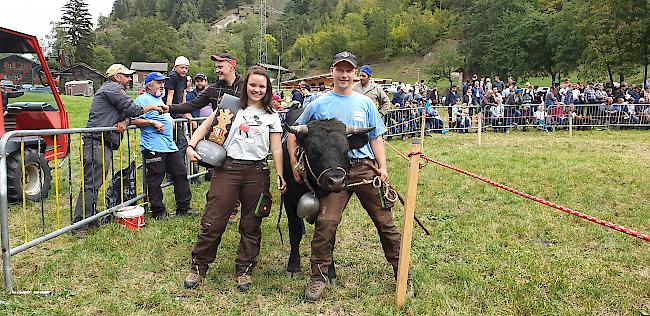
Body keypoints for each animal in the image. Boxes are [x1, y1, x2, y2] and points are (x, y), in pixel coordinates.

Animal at [280, 112, 372, 282]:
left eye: (346, 151)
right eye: (313, 151)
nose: (336, 181)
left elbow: (329, 236)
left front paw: (330, 271)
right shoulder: (289, 199)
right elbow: (294, 232)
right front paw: (293, 266)